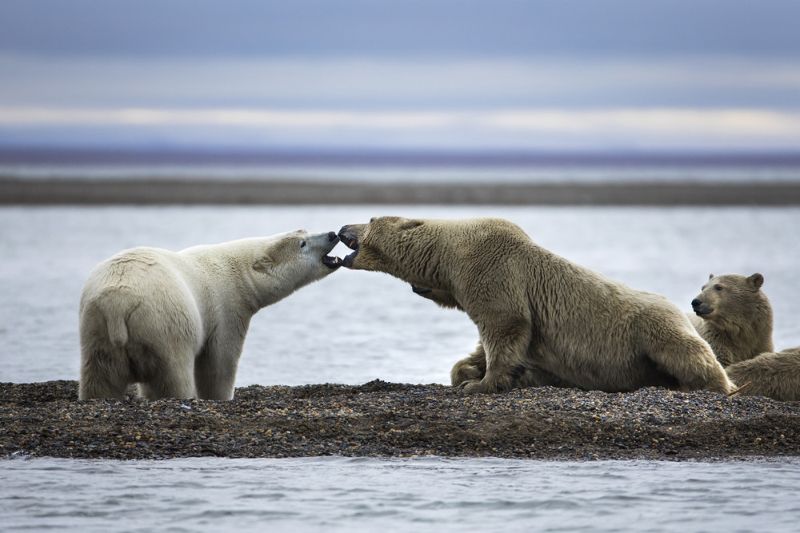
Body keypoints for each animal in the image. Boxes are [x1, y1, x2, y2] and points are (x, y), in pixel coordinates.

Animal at [79, 229, 342, 400]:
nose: (332, 233)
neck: (235, 269)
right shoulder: (225, 308)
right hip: (163, 324)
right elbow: (219, 361)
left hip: (96, 326)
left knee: (100, 377)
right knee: (173, 373)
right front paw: (221, 396)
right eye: (302, 243)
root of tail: (117, 302)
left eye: (305, 231)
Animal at [334, 216, 736, 394]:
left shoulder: (493, 269)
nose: (341, 228)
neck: (451, 254)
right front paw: (467, 371)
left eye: (369, 219)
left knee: (689, 354)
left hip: (652, 329)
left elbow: (505, 324)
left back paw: (722, 385)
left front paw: (480, 383)